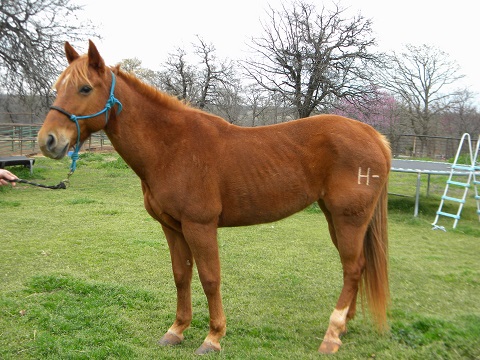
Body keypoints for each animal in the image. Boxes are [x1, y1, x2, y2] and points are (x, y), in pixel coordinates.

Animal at [37, 41, 390, 354]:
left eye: (84, 89)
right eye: (58, 87)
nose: (48, 141)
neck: (172, 148)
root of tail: (374, 136)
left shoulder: (200, 226)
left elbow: (209, 278)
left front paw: (213, 337)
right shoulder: (172, 227)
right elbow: (181, 276)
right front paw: (176, 330)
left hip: (349, 219)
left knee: (353, 268)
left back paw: (332, 335)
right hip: (335, 218)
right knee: (353, 267)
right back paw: (343, 326)